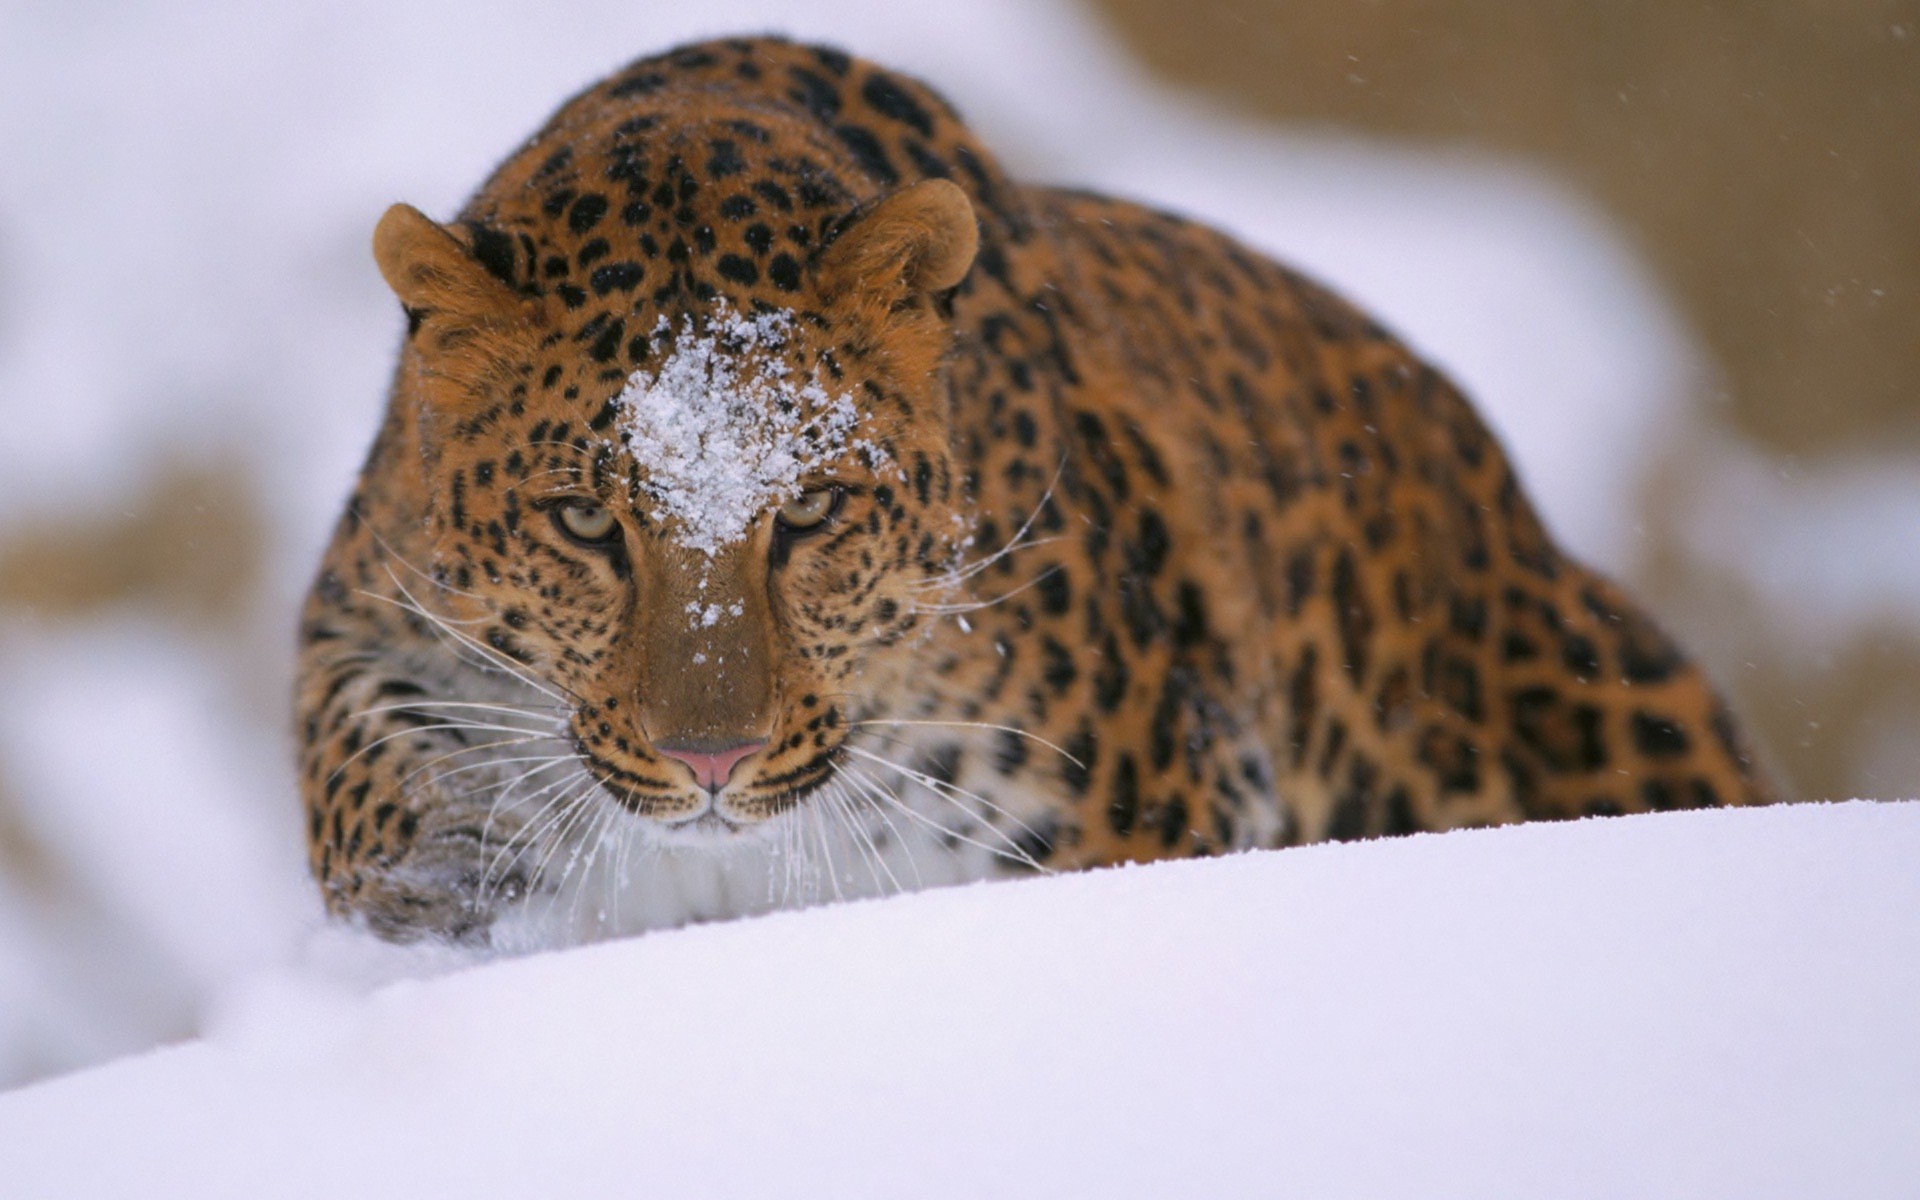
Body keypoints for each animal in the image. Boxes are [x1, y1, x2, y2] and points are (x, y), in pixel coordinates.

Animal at [296, 35, 1775, 945]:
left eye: (811, 514)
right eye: (586, 523)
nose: (708, 762)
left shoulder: (1141, 808)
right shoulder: (368, 600)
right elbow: (359, 757)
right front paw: (443, 886)